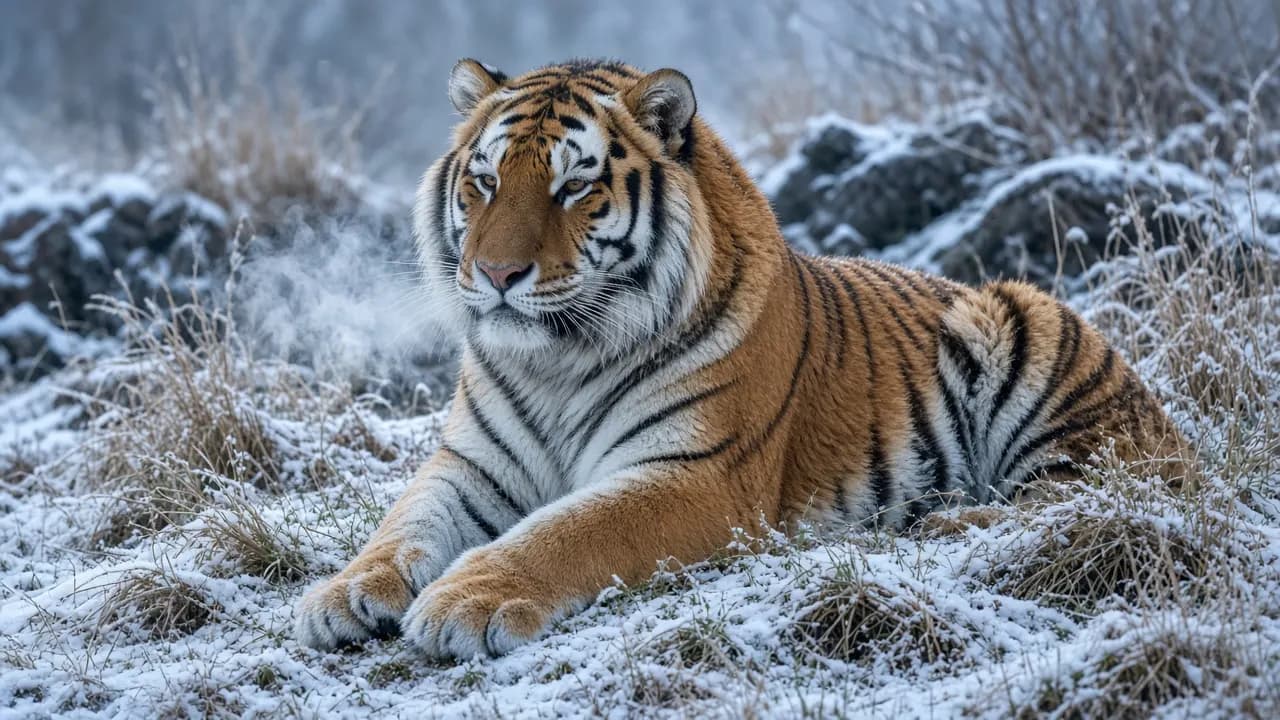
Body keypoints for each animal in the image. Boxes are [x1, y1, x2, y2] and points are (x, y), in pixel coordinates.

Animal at [294, 58, 1193, 658]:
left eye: (573, 187)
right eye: (483, 182)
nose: (495, 274)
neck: (556, 364)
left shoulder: (696, 476)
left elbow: (563, 532)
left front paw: (463, 602)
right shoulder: (470, 466)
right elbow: (402, 523)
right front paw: (342, 593)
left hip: (1019, 323)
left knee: (1086, 496)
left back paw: (940, 521)